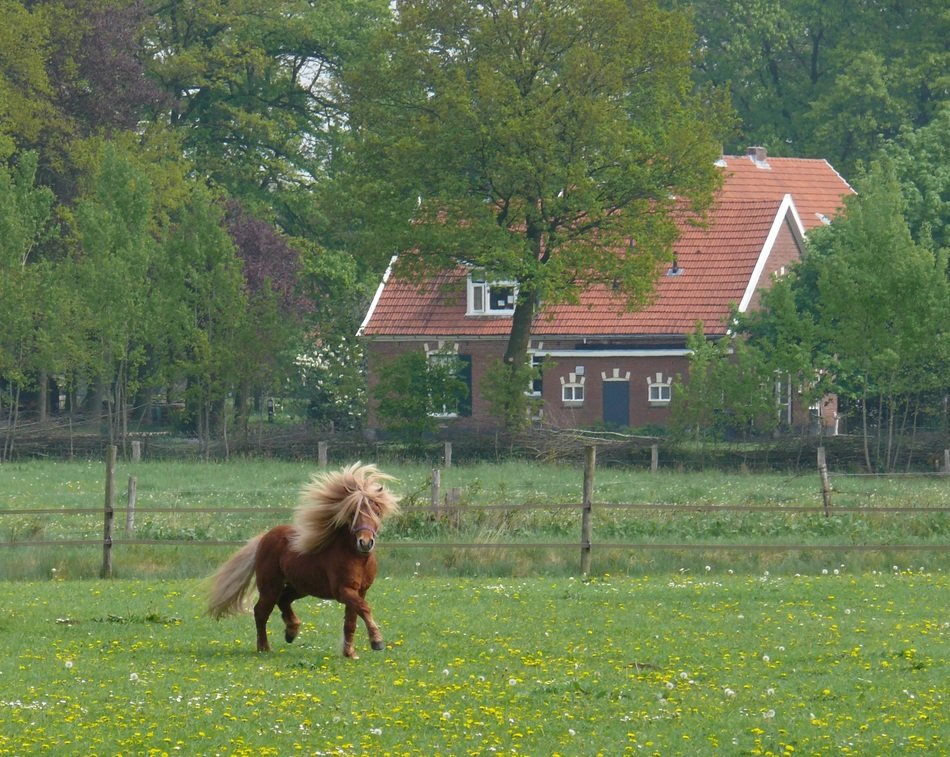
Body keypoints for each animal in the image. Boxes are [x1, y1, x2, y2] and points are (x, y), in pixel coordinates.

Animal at [206, 462, 400, 656]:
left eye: (377, 512)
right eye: (353, 513)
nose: (365, 543)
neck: (356, 557)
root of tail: (264, 537)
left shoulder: (360, 591)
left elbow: (351, 621)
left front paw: (350, 653)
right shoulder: (343, 591)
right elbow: (364, 608)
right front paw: (377, 641)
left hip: (300, 586)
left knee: (283, 600)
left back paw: (291, 631)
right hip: (271, 586)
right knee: (261, 611)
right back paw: (264, 647)